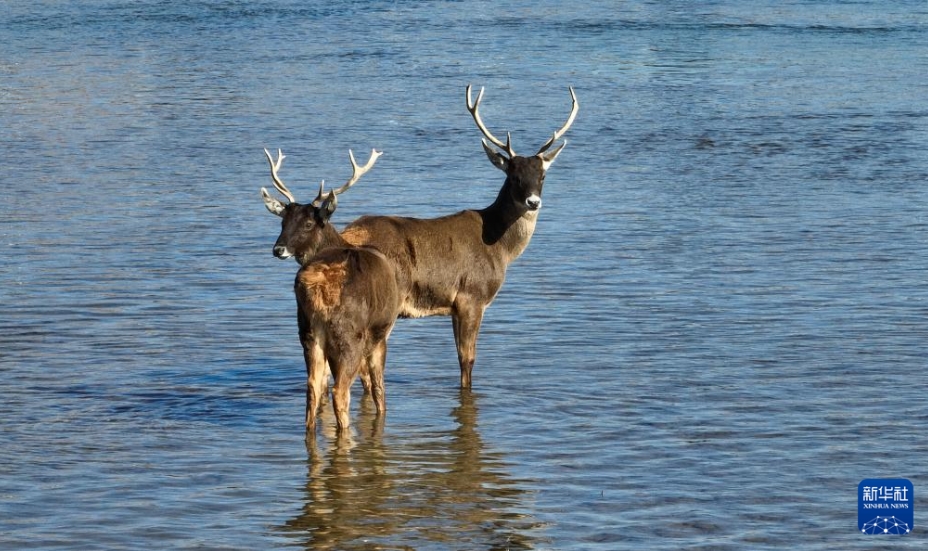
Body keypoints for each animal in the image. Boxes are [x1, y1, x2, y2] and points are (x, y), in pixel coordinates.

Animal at [260, 85, 576, 388]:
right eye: (513, 175)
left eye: (543, 176)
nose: (533, 201)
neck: (500, 248)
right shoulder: (470, 296)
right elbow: (467, 361)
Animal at [264, 149, 402, 434]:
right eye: (282, 222)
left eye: (308, 223)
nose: (278, 249)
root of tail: (316, 285)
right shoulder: (381, 332)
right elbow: (378, 389)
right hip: (349, 334)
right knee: (340, 391)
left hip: (308, 332)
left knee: (313, 387)